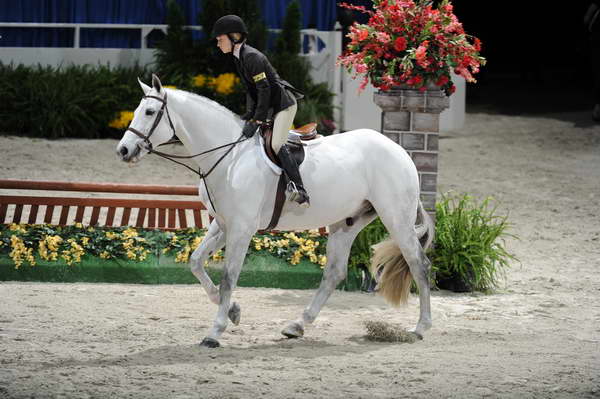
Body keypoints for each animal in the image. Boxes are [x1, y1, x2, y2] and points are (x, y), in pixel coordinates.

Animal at [115, 74, 434, 346]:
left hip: (395, 217)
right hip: (347, 222)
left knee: (418, 263)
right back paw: (297, 325)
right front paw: (233, 311)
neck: (229, 156)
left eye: (149, 112)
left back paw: (421, 327)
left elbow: (229, 276)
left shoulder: (242, 228)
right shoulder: (224, 224)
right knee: (334, 273)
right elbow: (195, 262)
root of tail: (400, 151)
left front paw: (215, 331)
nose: (123, 151)